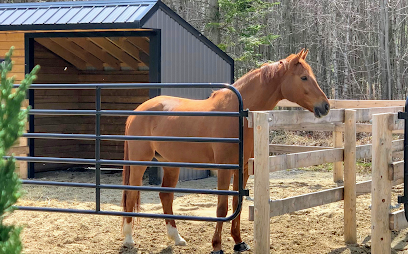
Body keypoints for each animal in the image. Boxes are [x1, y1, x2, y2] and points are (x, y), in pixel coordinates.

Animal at [122, 48, 332, 253]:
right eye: (304, 77)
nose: (326, 106)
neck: (239, 115)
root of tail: (137, 111)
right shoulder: (225, 168)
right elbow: (222, 207)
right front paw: (217, 245)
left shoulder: (243, 169)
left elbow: (235, 204)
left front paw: (239, 242)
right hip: (139, 162)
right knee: (131, 194)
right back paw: (129, 239)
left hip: (171, 163)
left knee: (165, 195)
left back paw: (177, 238)